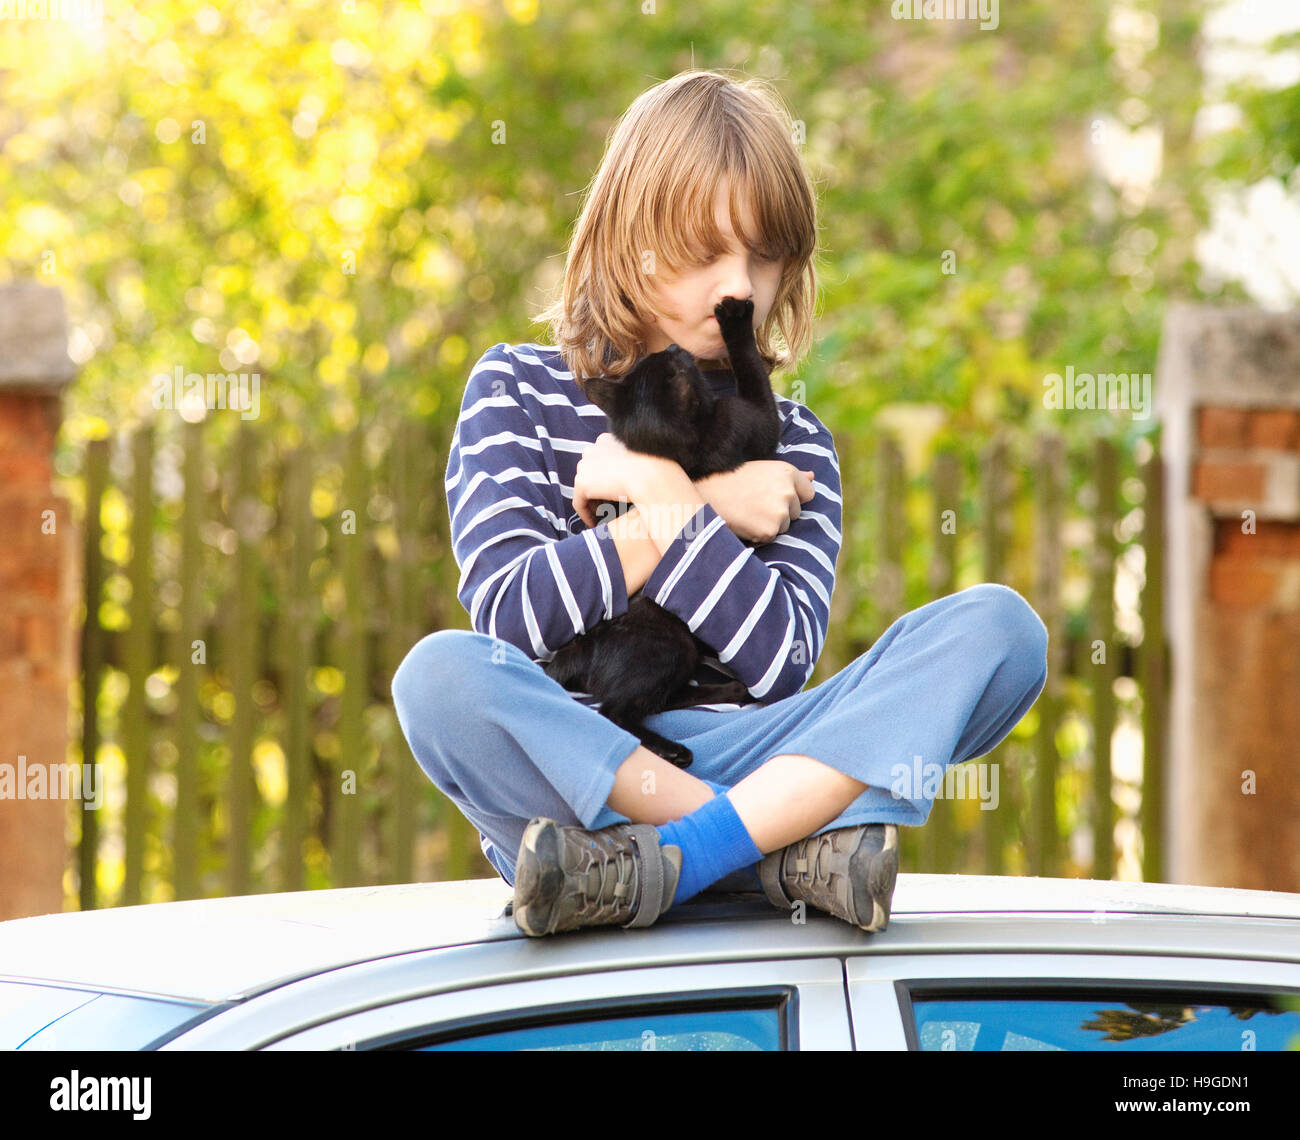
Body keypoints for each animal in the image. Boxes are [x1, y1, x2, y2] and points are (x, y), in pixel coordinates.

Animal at [546, 297, 785, 769]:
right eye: (669, 361)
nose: (674, 346)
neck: (676, 450)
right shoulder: (753, 420)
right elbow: (751, 369)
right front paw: (735, 321)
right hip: (668, 646)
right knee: (616, 712)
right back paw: (674, 750)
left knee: (658, 700)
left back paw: (729, 690)